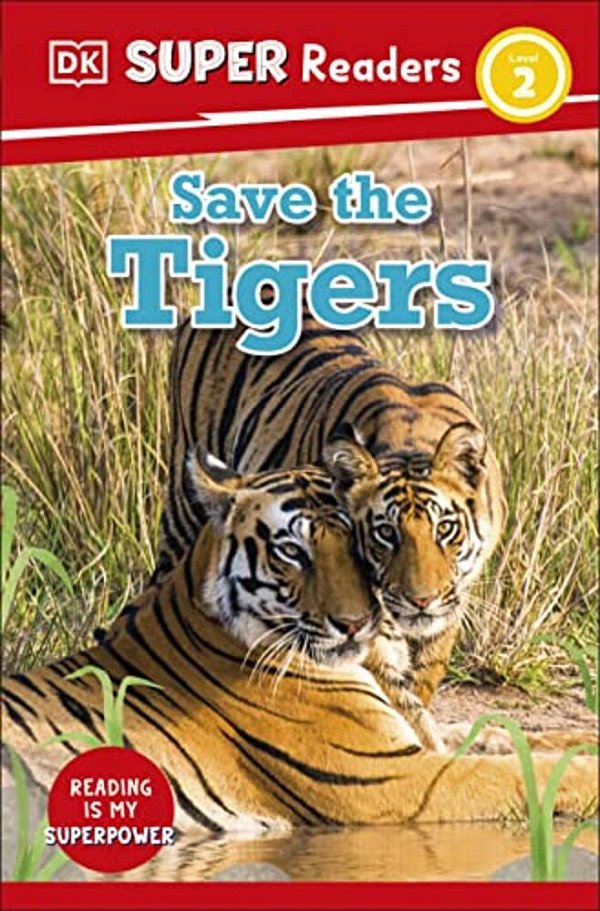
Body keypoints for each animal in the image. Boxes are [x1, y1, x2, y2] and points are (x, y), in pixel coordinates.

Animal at [2, 449, 596, 834]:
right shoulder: (394, 779)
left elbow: (517, 737)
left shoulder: (423, 739)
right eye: (292, 552)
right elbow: (528, 771)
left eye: (359, 544)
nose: (355, 623)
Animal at [155, 297, 507, 749]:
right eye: (384, 534)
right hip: (184, 507)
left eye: (445, 529)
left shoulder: (449, 606)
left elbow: (421, 685)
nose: (420, 600)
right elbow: (400, 701)